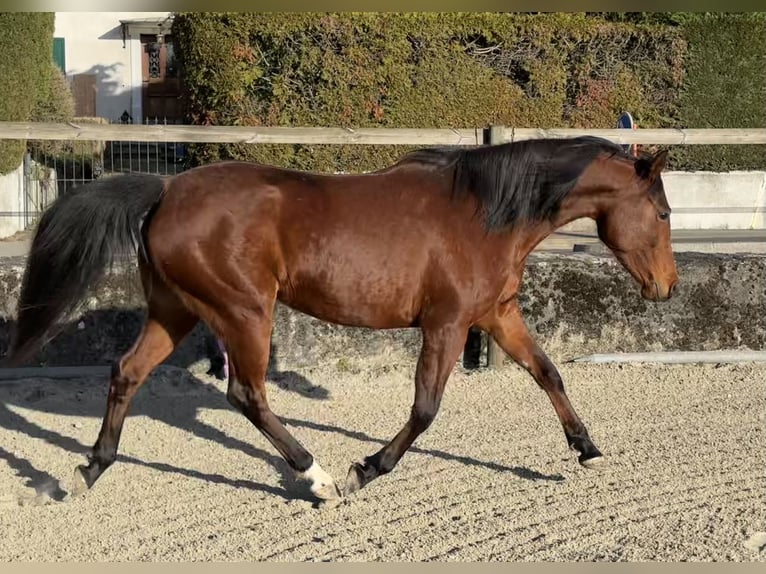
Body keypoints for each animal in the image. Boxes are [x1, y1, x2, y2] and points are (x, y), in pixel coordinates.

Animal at [7, 136, 678, 505]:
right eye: (665, 212)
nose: (667, 289)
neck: (484, 215)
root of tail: (165, 191)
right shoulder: (447, 323)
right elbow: (425, 409)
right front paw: (366, 470)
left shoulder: (496, 314)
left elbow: (548, 374)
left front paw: (588, 450)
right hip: (245, 311)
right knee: (247, 393)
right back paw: (319, 477)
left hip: (174, 311)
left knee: (126, 372)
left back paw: (85, 471)